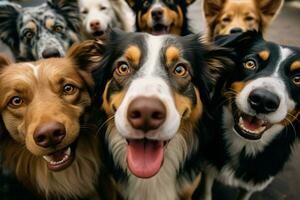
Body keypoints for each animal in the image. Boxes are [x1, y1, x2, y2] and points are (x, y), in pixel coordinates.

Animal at [196, 31, 300, 200]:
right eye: (250, 63)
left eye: (297, 79)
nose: (263, 100)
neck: (245, 143)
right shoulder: (208, 167)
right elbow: (206, 192)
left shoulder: (253, 184)